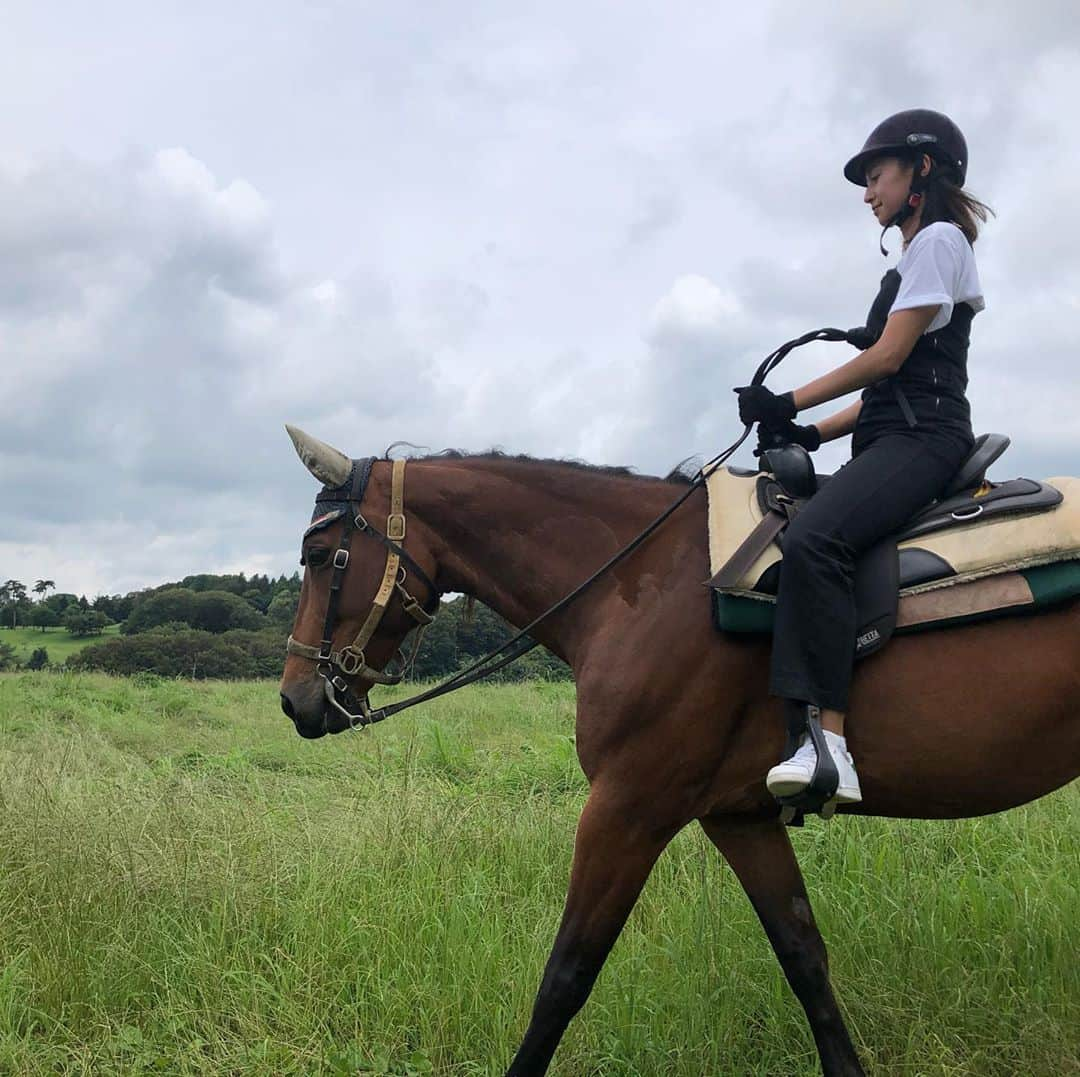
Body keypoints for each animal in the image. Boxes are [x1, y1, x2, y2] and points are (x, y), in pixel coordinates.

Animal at [278, 432, 1080, 1075]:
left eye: (318, 554)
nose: (294, 699)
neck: (642, 585)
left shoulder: (629, 807)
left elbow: (565, 976)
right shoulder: (738, 815)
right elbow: (804, 956)